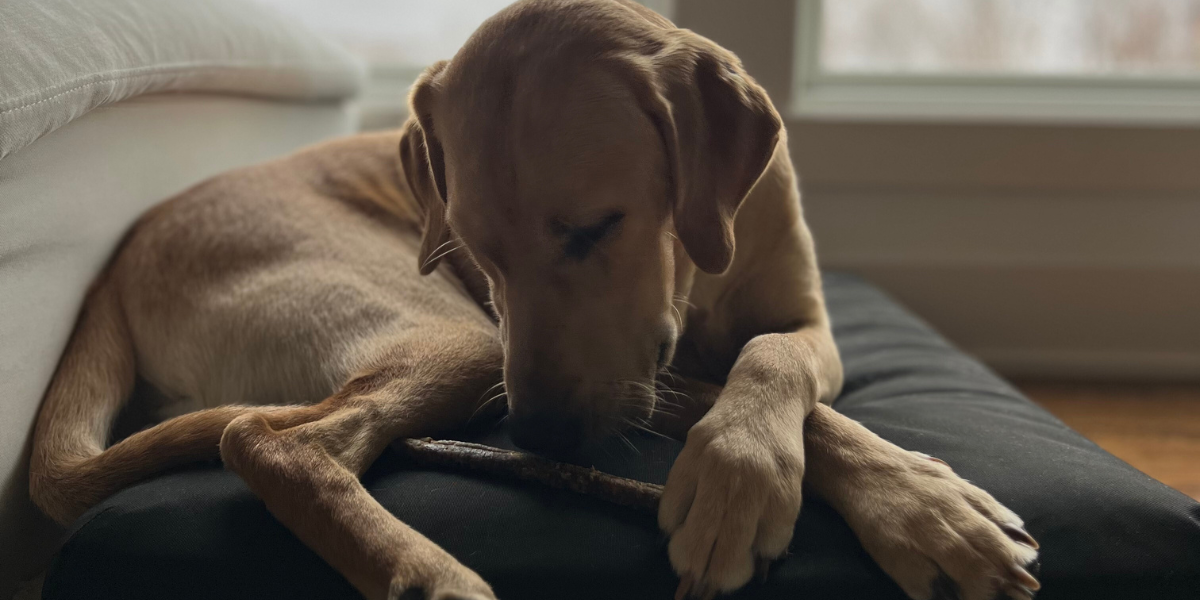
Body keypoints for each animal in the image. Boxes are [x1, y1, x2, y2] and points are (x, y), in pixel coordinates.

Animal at [30, 1, 1041, 600]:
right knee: (270, 442)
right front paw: (899, 501)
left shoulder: (809, 325)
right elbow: (780, 407)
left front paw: (769, 468)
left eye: (596, 227)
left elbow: (772, 355)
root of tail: (117, 264)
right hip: (457, 340)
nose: (541, 437)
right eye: (474, 252)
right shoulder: (625, 370)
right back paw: (431, 575)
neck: (697, 275)